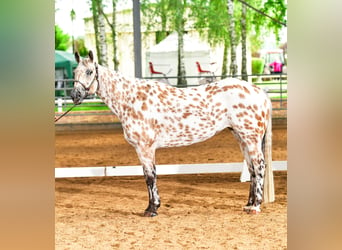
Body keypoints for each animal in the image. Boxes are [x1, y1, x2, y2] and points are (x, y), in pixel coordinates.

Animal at [71, 50, 272, 217]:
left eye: (89, 72)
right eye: (74, 72)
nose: (74, 95)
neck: (132, 100)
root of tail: (259, 92)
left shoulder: (145, 148)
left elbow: (150, 177)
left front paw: (152, 209)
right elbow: (149, 176)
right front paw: (152, 206)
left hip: (251, 138)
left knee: (259, 166)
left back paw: (256, 206)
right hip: (241, 138)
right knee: (252, 169)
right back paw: (249, 203)